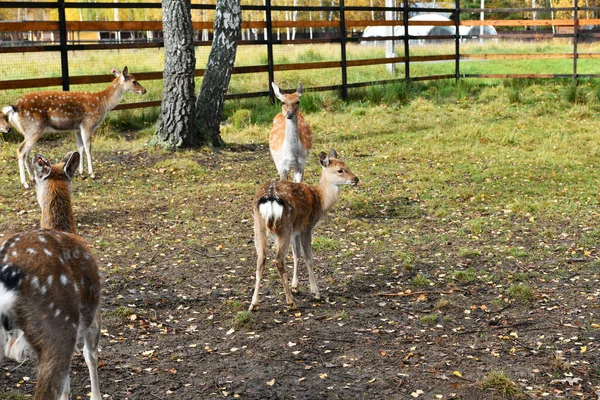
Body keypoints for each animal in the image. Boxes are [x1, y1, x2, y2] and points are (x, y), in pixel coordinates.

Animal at [2, 66, 146, 189]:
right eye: (134, 81)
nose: (144, 90)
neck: (102, 103)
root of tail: (14, 108)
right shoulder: (87, 124)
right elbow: (88, 147)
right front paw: (92, 173)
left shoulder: (77, 128)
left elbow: (80, 147)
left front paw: (82, 172)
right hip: (34, 129)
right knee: (21, 150)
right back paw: (25, 183)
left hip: (28, 131)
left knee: (26, 152)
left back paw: (32, 178)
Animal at [247, 148, 356, 310]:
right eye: (340, 170)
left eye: (346, 165)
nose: (356, 179)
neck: (320, 200)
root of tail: (270, 198)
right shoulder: (306, 227)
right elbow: (308, 257)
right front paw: (315, 293)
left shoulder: (295, 230)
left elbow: (296, 254)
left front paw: (295, 286)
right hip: (284, 227)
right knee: (278, 260)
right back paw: (291, 302)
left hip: (259, 226)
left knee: (261, 259)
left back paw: (254, 304)